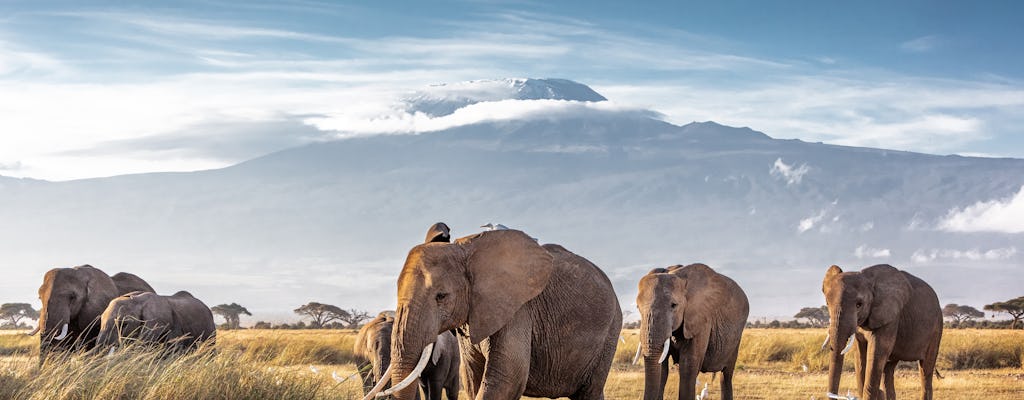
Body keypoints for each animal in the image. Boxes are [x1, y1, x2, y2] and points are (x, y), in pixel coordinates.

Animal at [370, 225, 622, 400]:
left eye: (441, 296)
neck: (465, 248)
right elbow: (472, 377)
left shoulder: (518, 310)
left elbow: (506, 379)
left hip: (610, 331)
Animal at [634, 263, 749, 400]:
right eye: (637, 307)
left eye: (673, 305)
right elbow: (662, 368)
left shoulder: (702, 320)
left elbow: (688, 367)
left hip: (736, 338)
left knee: (726, 375)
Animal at [823, 263, 942, 398]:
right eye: (827, 303)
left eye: (859, 305)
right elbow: (860, 355)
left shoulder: (890, 318)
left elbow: (876, 353)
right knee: (888, 369)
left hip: (936, 327)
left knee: (926, 369)